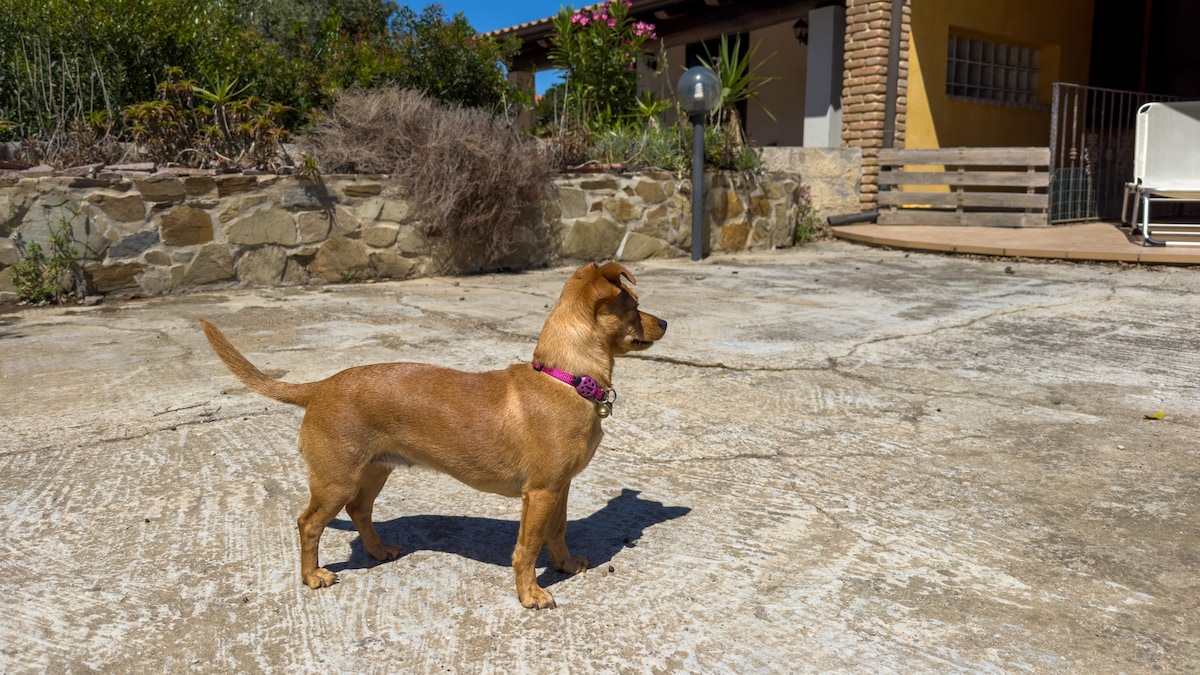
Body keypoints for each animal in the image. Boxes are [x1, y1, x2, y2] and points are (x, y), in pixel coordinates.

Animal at [200, 262, 666, 609]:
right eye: (634, 306)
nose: (663, 321)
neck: (566, 378)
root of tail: (321, 386)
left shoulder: (558, 489)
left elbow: (558, 532)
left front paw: (566, 565)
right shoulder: (540, 494)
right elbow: (528, 547)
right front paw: (530, 594)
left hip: (374, 472)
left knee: (359, 511)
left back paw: (378, 551)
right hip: (336, 480)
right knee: (308, 523)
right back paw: (312, 575)